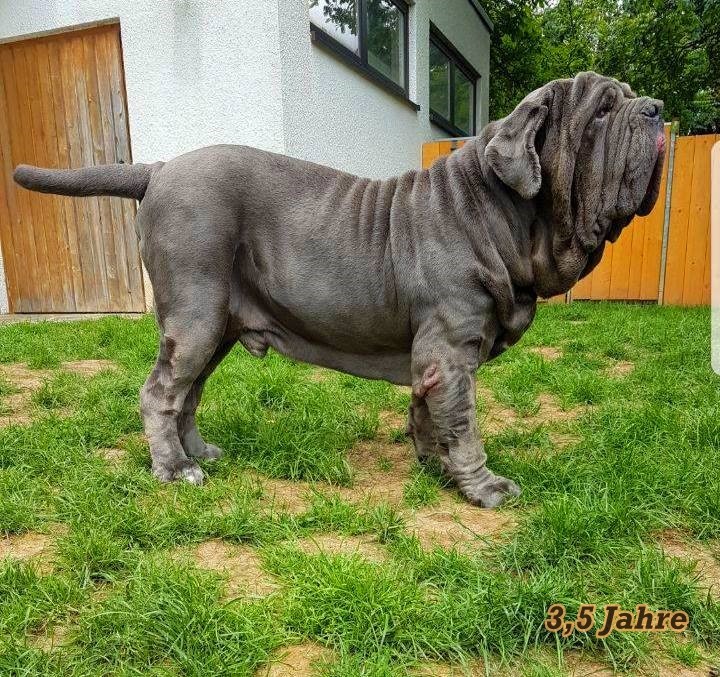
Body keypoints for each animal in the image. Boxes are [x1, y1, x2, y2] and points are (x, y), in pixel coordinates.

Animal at [14, 72, 665, 507]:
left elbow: (429, 415)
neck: (498, 211)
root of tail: (159, 168)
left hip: (215, 326)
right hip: (194, 317)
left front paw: (433, 468)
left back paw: (199, 454)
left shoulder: (432, 356)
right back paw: (174, 470)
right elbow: (464, 426)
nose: (656, 109)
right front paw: (483, 487)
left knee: (187, 395)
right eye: (601, 112)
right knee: (161, 393)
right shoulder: (450, 351)